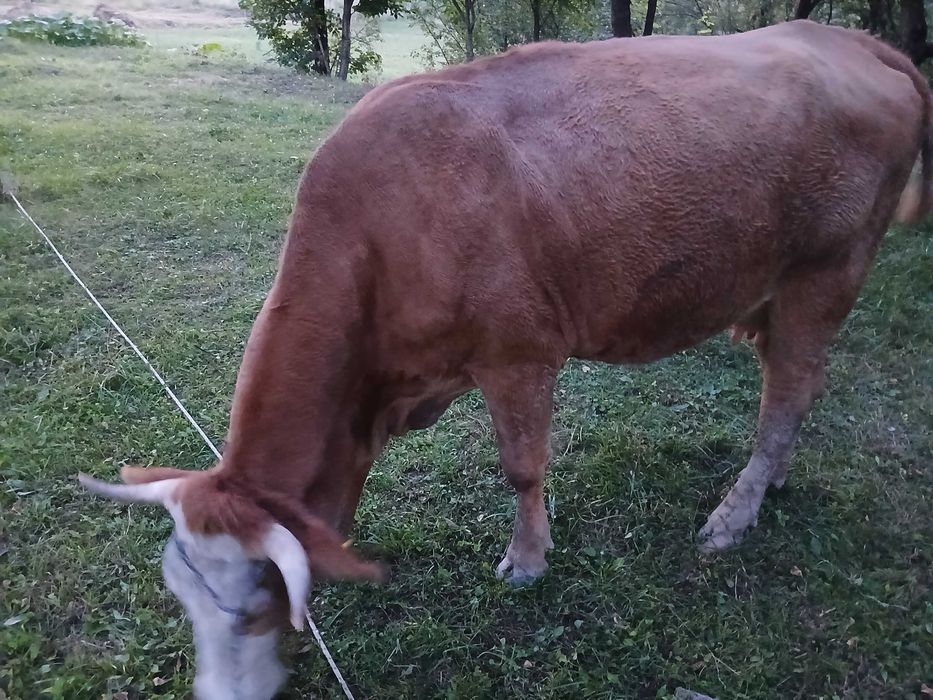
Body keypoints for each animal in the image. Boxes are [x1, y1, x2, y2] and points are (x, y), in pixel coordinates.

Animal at [80, 20, 930, 699]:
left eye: (253, 602)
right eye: (183, 599)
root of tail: (852, 39)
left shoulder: (517, 352)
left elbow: (522, 468)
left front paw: (526, 559)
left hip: (825, 273)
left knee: (787, 393)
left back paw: (735, 512)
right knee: (797, 388)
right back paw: (773, 477)